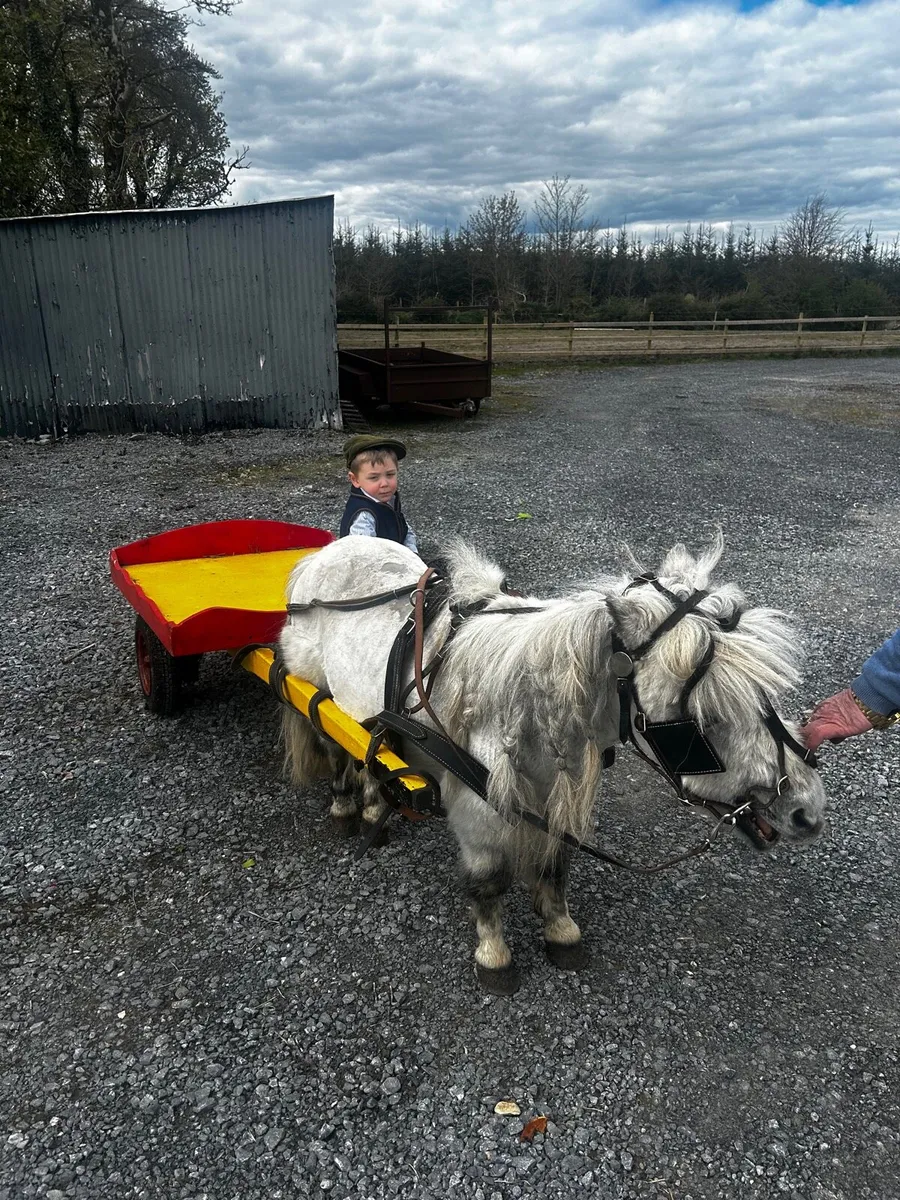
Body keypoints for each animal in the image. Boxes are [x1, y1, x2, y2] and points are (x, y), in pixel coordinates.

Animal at [278, 533, 827, 994]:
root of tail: (325, 552)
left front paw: (561, 930)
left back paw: (375, 806)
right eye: (706, 718)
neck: (532, 704)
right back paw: (347, 808)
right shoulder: (476, 811)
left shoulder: (552, 793)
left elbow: (555, 862)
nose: (807, 812)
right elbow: (489, 880)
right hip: (313, 684)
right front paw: (494, 956)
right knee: (331, 742)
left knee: (364, 747)